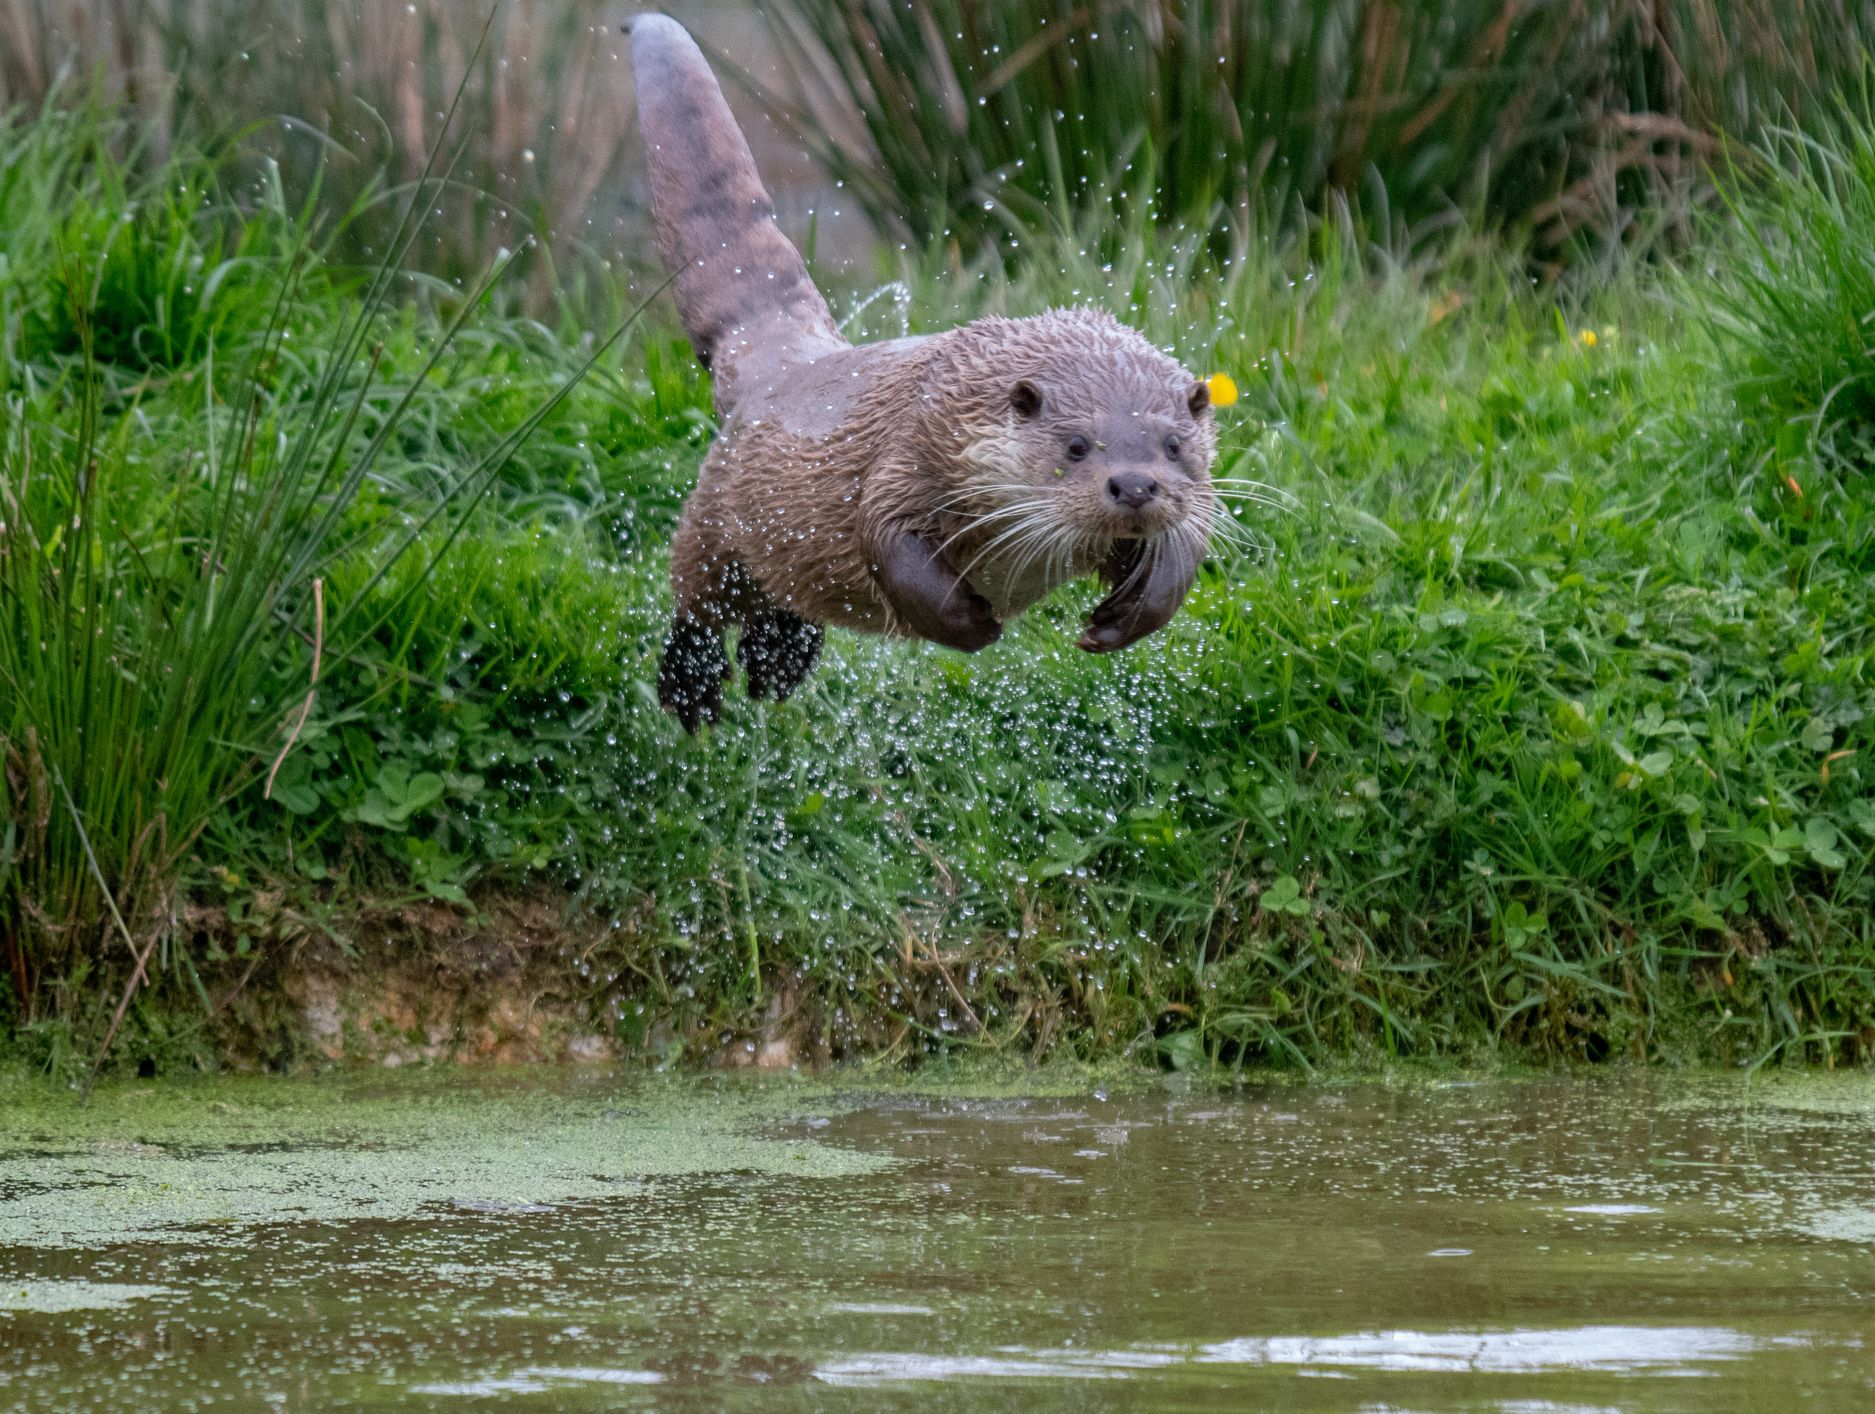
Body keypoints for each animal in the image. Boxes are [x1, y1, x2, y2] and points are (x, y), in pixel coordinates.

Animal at [625, 14, 1219, 731]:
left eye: (1173, 446)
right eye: (1076, 445)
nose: (1134, 486)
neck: (963, 400)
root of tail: (782, 361)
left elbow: (1182, 550)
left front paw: (1126, 616)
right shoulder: (911, 450)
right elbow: (885, 541)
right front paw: (973, 624)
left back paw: (778, 665)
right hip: (721, 507)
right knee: (698, 591)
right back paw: (694, 684)